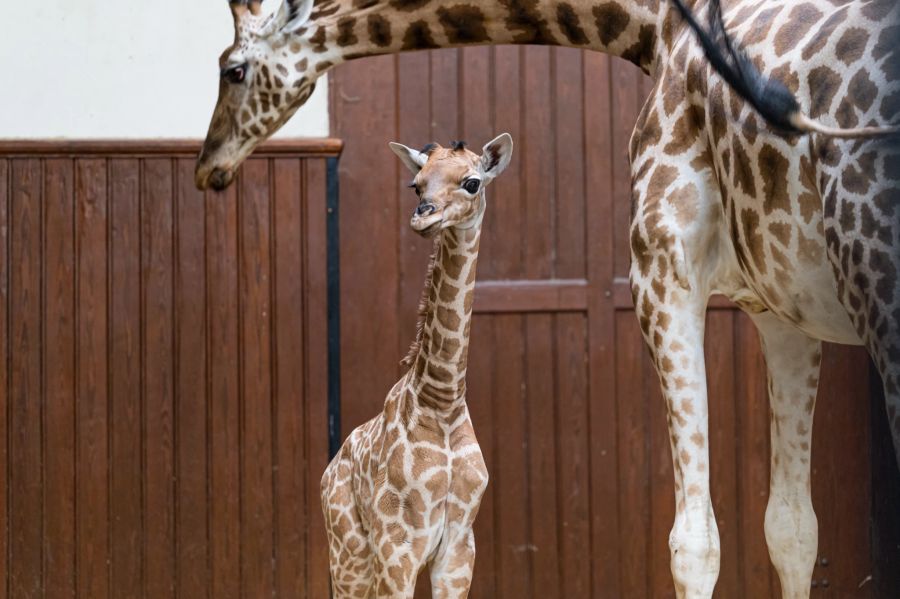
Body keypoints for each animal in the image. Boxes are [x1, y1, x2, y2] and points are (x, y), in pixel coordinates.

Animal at [322, 134, 512, 596]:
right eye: (416, 184)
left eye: (472, 182)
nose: (423, 217)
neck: (441, 399)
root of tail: (328, 472)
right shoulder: (397, 545)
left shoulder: (459, 547)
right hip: (349, 553)